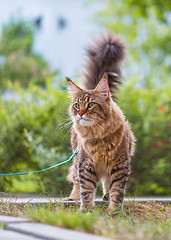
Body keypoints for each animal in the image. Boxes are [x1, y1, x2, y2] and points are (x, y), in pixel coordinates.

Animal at [64, 32, 136, 210]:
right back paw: (73, 198)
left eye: (91, 105)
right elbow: (86, 190)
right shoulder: (85, 165)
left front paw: (114, 210)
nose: (80, 113)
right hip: (76, 160)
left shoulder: (120, 165)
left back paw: (106, 196)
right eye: (77, 105)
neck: (99, 137)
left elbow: (117, 190)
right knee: (76, 181)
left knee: (106, 182)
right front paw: (86, 209)